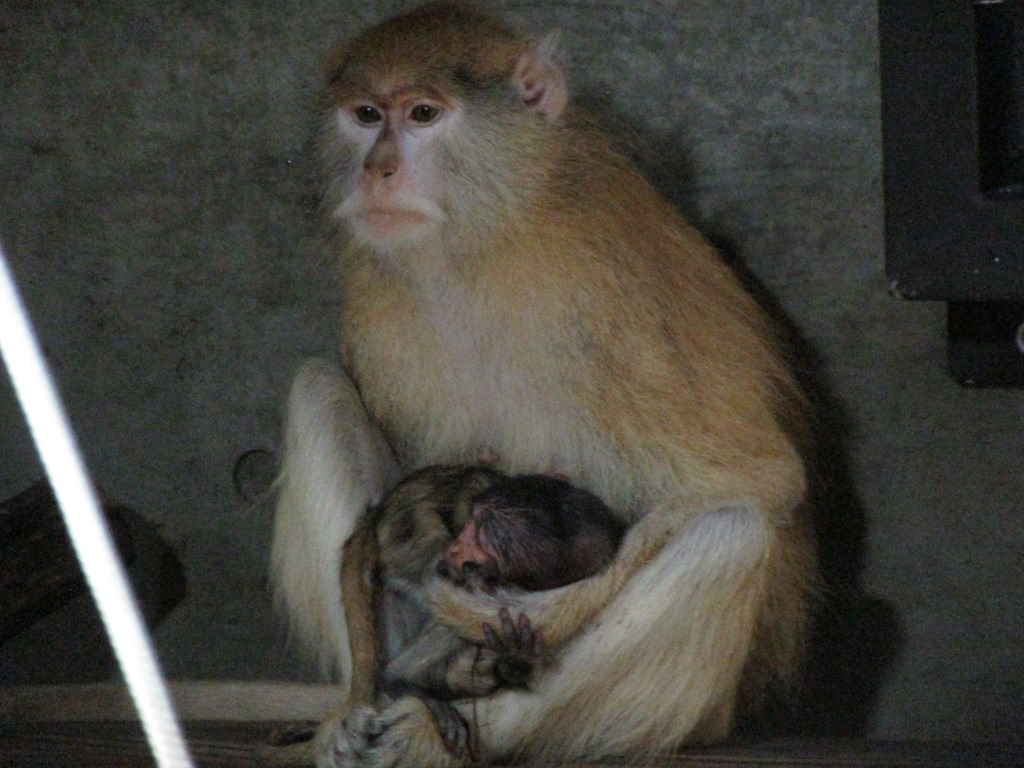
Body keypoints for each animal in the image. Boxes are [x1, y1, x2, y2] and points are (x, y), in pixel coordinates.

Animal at [272, 3, 815, 765]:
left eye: (423, 114)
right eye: (365, 114)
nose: (378, 170)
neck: (493, 230)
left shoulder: (602, 294)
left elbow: (758, 482)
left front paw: (509, 609)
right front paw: (353, 708)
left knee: (732, 532)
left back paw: (459, 726)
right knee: (317, 388)